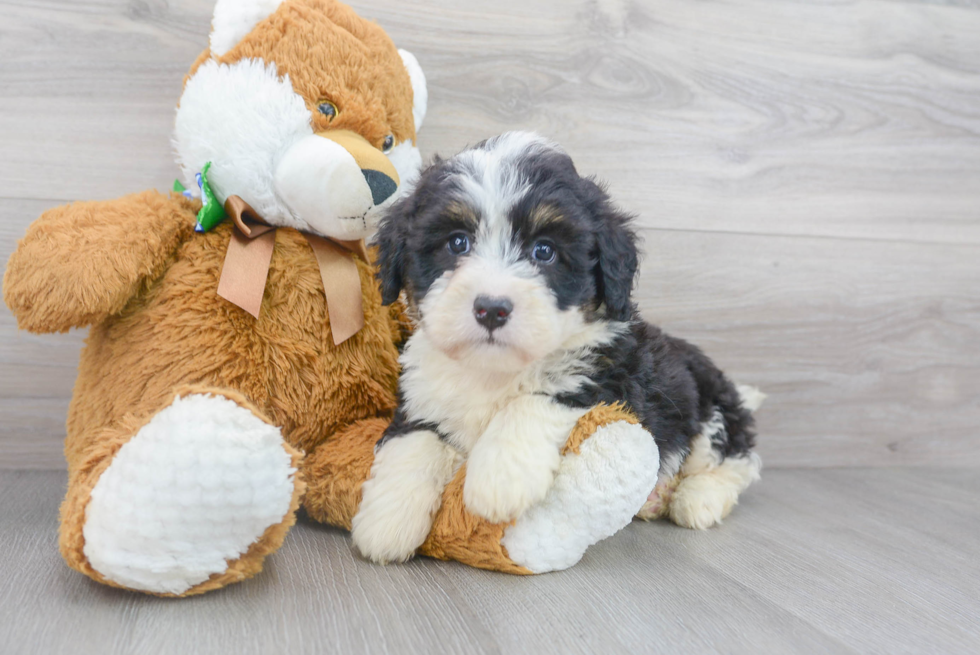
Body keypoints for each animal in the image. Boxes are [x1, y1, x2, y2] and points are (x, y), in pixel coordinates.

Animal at [352, 132, 764, 564]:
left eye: (544, 251)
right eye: (457, 242)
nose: (492, 308)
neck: (495, 371)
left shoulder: (611, 379)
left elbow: (535, 400)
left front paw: (499, 478)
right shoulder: (424, 394)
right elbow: (413, 441)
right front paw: (387, 519)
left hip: (710, 411)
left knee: (734, 462)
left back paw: (696, 498)